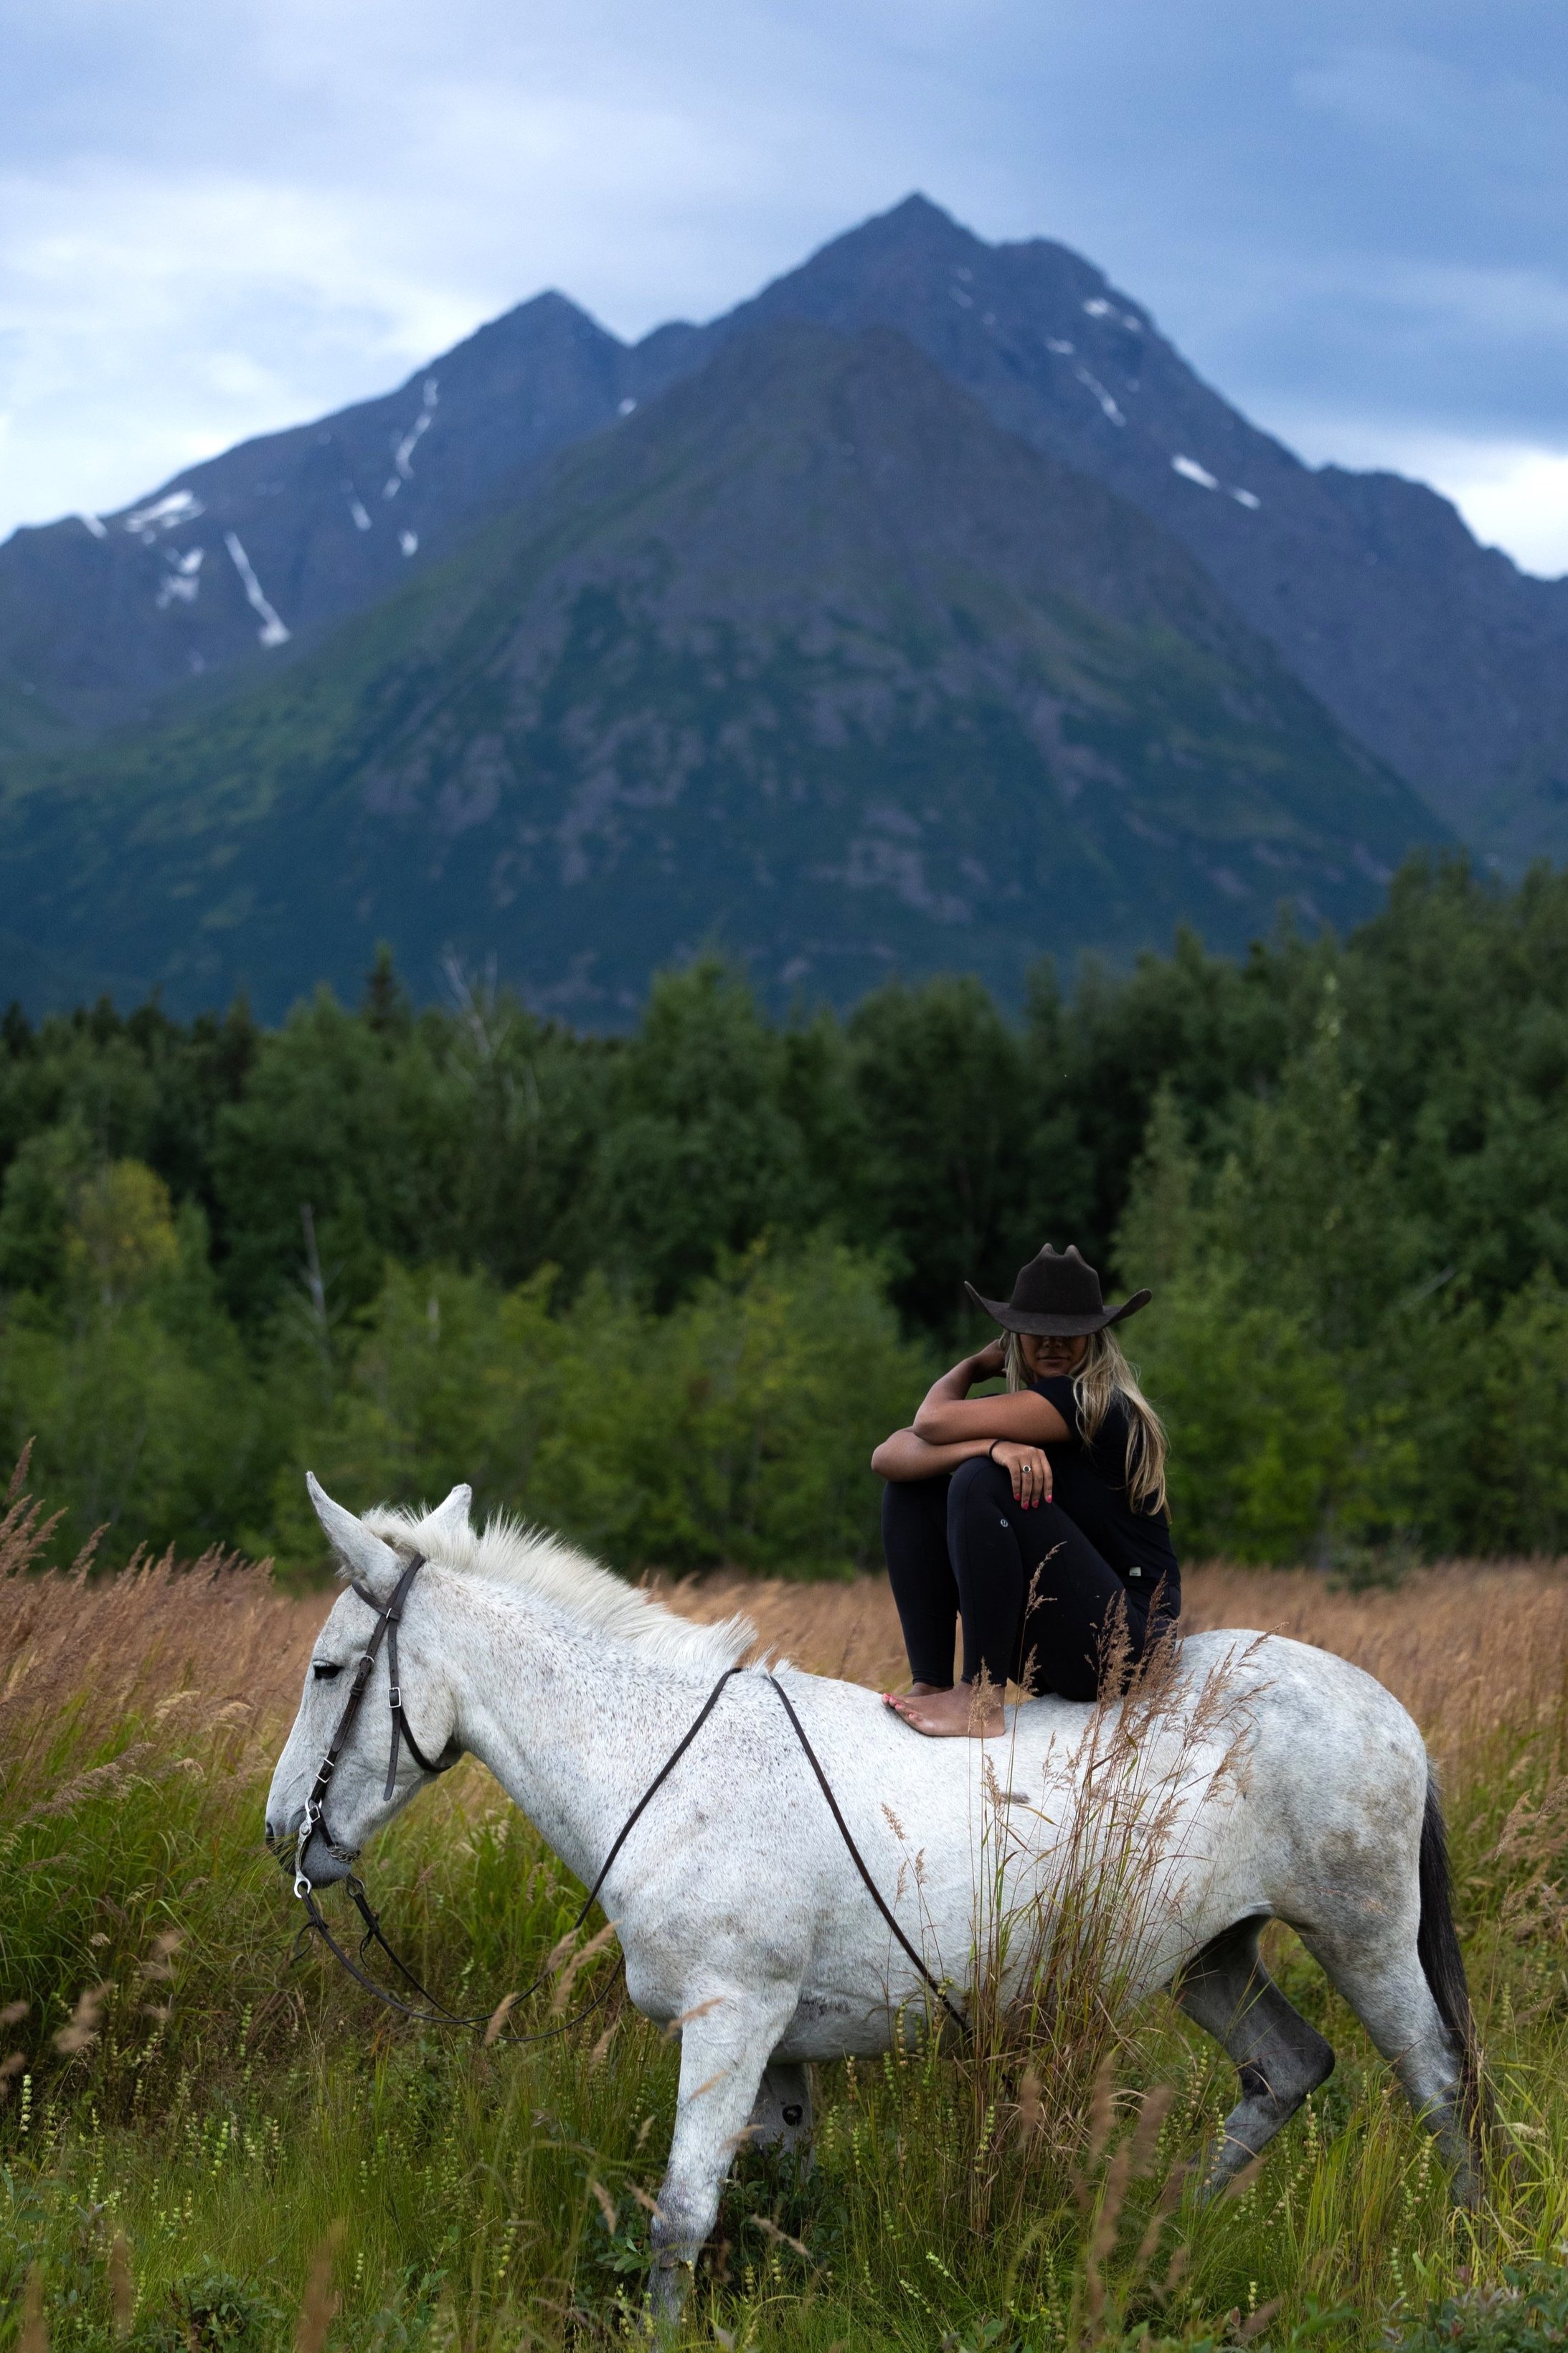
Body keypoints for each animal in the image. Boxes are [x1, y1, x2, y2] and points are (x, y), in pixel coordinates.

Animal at [266, 1475, 1488, 2319]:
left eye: (326, 1670)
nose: (285, 1835)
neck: (666, 1764)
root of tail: (1385, 1706)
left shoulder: (731, 2018)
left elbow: (681, 2215)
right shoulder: (779, 2048)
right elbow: (779, 2198)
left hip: (1362, 1937)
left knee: (1434, 2082)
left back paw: (1475, 2253)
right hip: (1212, 1957)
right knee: (1287, 2070)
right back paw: (1155, 2235)